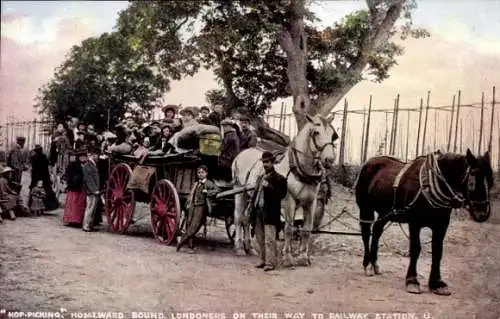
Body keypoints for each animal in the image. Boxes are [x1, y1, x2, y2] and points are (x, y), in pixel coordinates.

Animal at [232, 115, 338, 268]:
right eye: (316, 132)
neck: (299, 169)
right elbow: (288, 228)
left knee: (246, 219)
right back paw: (239, 247)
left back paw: (250, 248)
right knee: (238, 217)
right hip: (239, 191)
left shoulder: (311, 202)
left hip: (250, 196)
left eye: (333, 135)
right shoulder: (289, 201)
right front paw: (288, 257)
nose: (329, 159)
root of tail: (241, 154)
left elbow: (307, 229)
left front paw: (303, 257)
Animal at [356, 151, 492, 298]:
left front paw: (437, 283)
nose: (482, 213)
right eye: (473, 181)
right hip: (365, 208)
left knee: (377, 231)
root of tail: (369, 162)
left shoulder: (441, 226)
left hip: (385, 212)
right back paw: (367, 264)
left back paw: (374, 263)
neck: (430, 186)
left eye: (491, 181)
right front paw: (412, 281)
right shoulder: (414, 223)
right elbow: (415, 249)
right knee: (366, 233)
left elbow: (437, 251)